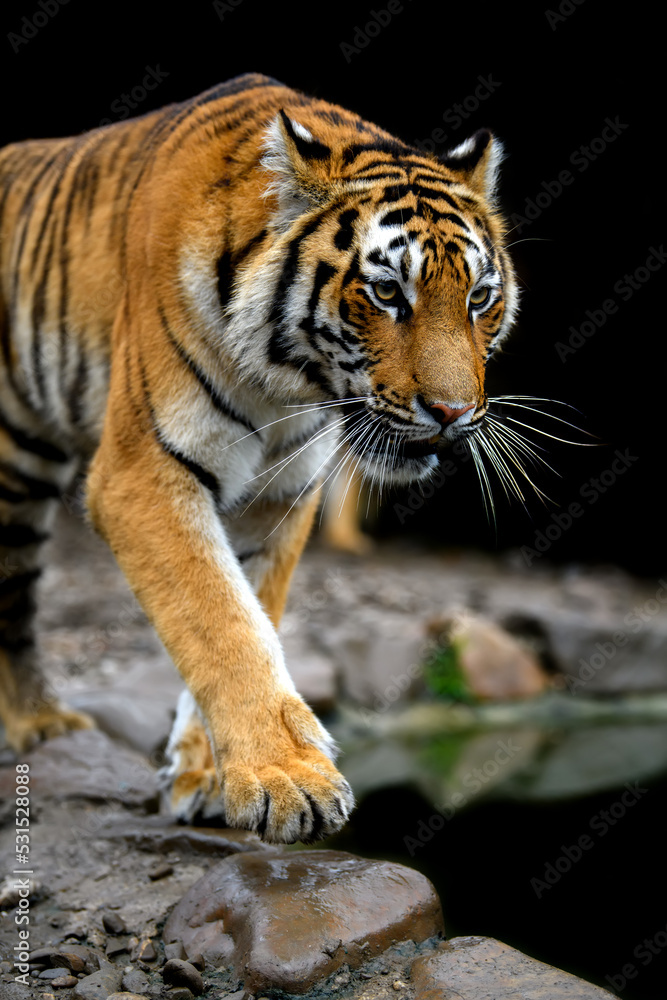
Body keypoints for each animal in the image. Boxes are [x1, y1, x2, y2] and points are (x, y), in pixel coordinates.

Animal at [0, 72, 519, 843]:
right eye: (386, 292)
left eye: (479, 298)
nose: (454, 413)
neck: (286, 381)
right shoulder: (141, 474)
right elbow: (220, 620)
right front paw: (287, 779)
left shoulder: (279, 493)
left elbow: (251, 608)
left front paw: (207, 775)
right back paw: (39, 724)